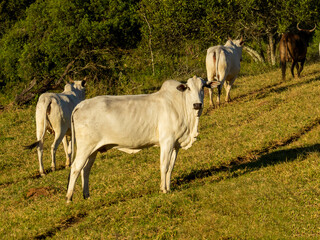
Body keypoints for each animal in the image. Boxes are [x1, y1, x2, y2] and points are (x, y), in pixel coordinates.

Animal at [65, 76, 220, 202]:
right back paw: (69, 197)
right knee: (76, 167)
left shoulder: (176, 145)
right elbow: (164, 166)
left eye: (203, 87)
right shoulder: (167, 142)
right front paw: (163, 189)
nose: (197, 105)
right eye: (188, 88)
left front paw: (169, 188)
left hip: (93, 149)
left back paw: (87, 195)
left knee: (86, 169)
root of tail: (80, 105)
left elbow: (171, 167)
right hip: (85, 147)